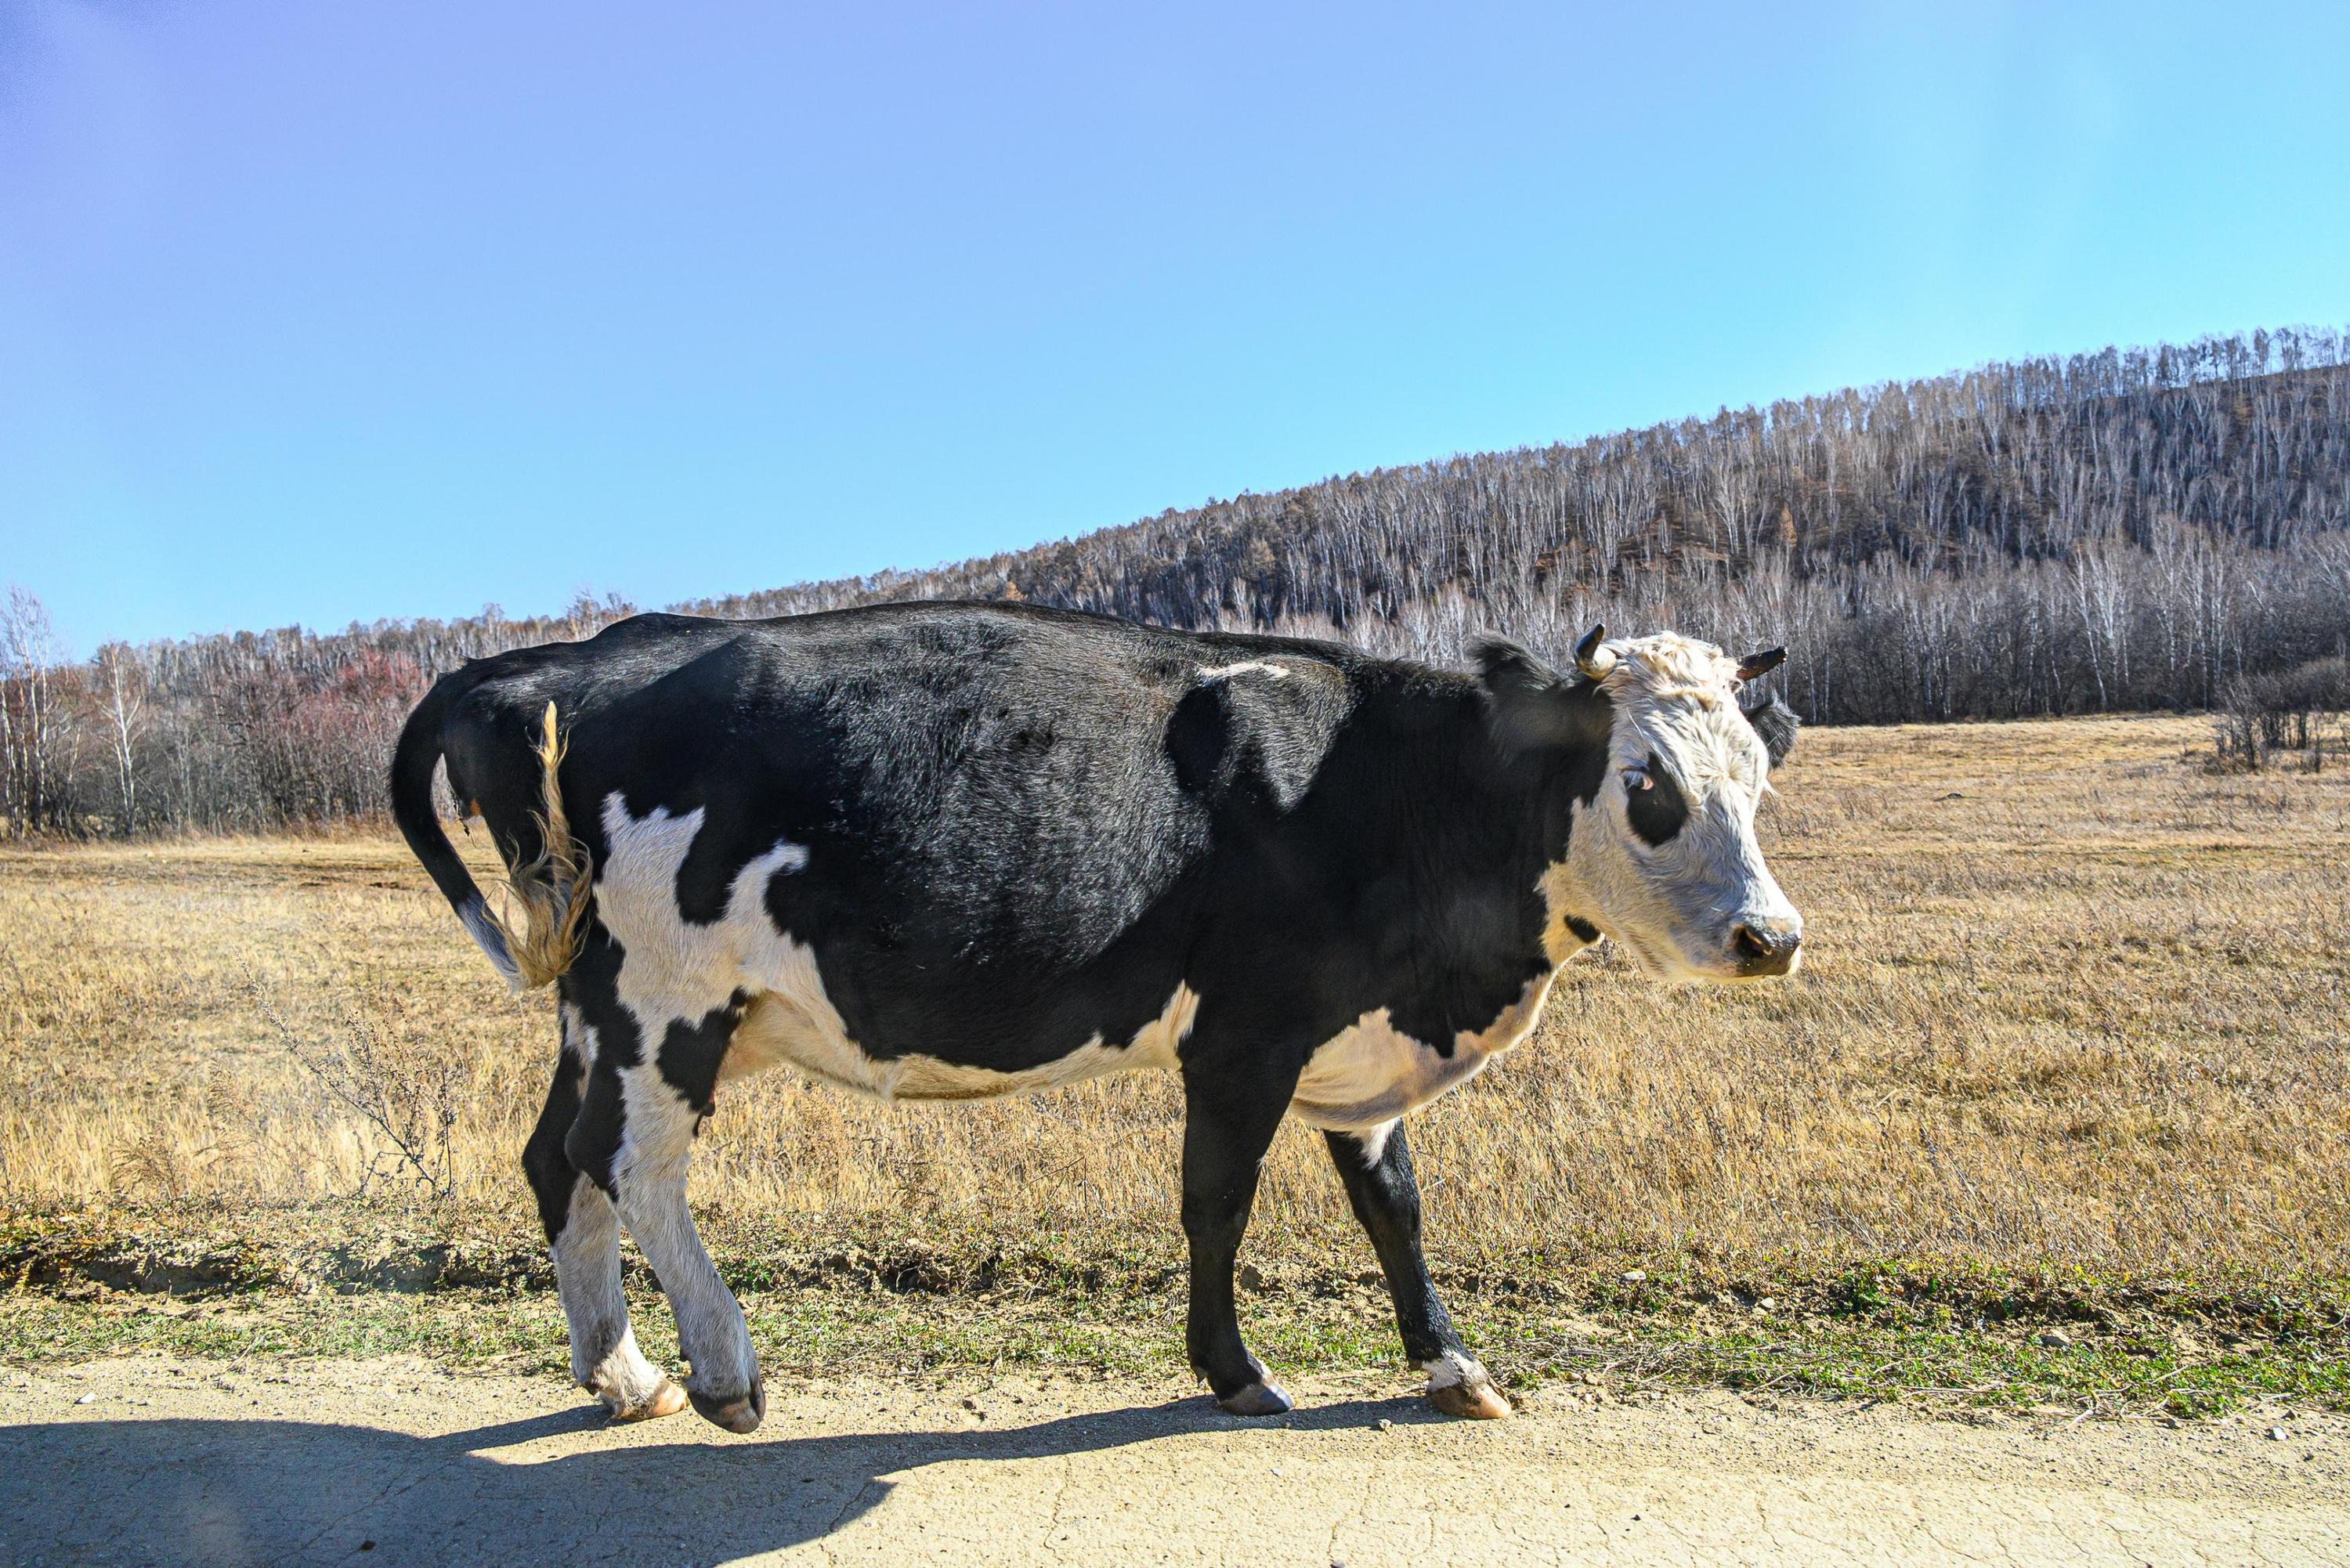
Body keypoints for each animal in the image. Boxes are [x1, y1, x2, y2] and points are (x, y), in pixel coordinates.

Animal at [395, 602, 1805, 1438]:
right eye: (1648, 784)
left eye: (1758, 776)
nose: (1773, 938)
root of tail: (553, 655)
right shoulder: (1244, 1033)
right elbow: (1218, 1202)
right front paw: (1234, 1370)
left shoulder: (1356, 1036)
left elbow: (1393, 1205)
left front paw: (1452, 1365)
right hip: (665, 995)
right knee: (630, 1161)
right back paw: (721, 1367)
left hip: (606, 1005)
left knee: (556, 1158)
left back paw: (620, 1372)